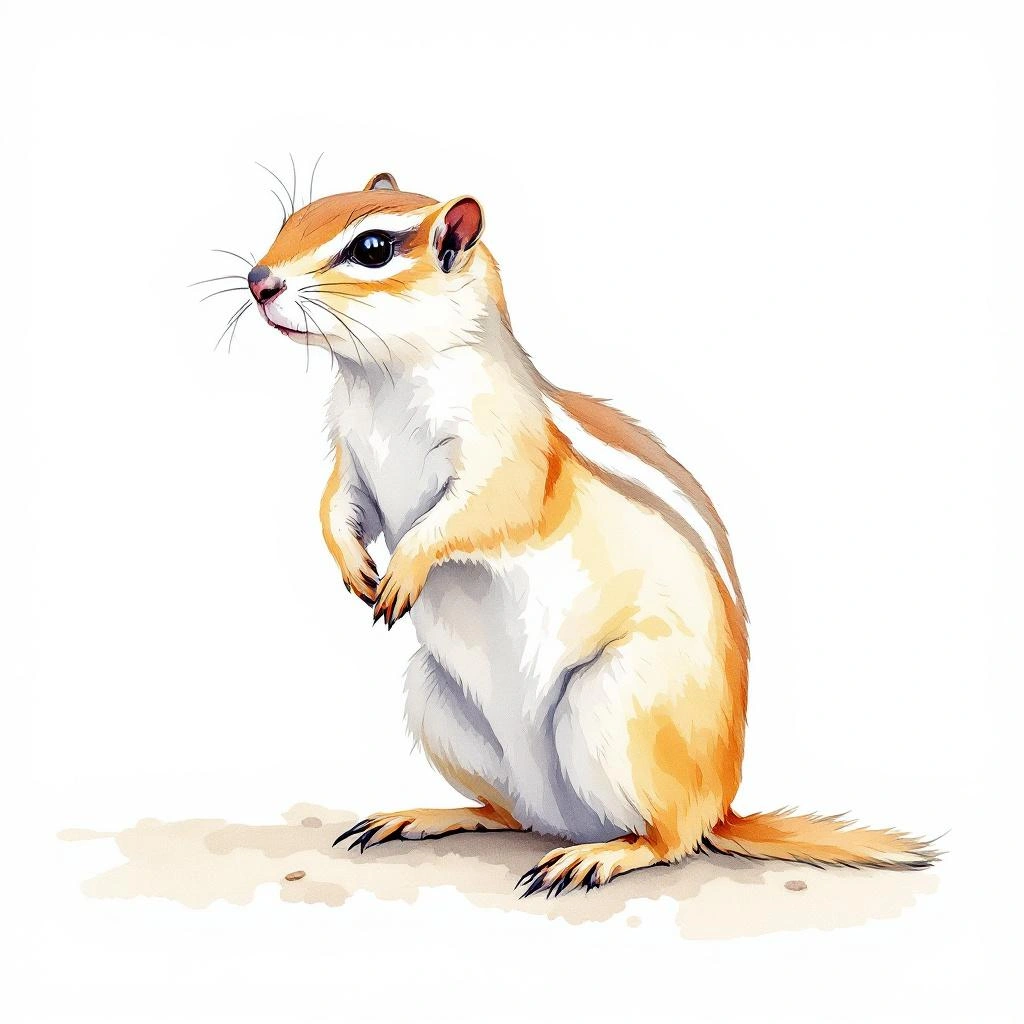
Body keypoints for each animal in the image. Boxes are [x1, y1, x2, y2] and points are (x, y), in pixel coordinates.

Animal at [237, 170, 936, 895]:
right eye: (294, 218)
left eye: (372, 248)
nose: (259, 281)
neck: (380, 380)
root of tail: (723, 803)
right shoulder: (349, 456)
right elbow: (339, 508)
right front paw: (354, 565)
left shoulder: (505, 456)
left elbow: (479, 512)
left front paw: (405, 568)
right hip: (436, 699)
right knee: (509, 813)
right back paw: (428, 815)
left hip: (617, 704)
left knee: (672, 839)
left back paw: (601, 856)